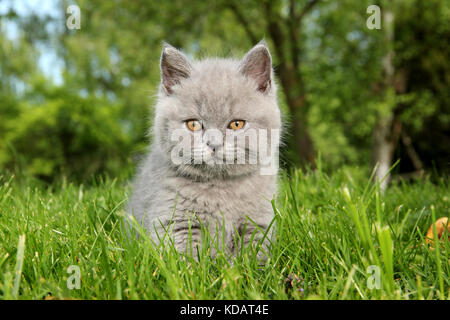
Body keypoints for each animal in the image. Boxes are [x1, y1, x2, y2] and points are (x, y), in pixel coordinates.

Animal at [127, 40, 282, 258]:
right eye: (193, 124)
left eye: (236, 124)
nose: (214, 144)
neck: (220, 187)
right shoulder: (174, 221)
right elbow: (185, 257)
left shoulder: (259, 222)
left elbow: (256, 255)